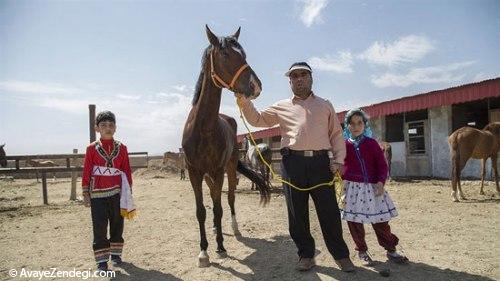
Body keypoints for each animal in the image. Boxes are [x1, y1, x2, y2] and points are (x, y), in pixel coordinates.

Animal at [182, 25, 270, 266]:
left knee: (228, 198)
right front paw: (203, 251)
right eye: (225, 54)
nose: (256, 86)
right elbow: (201, 211)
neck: (203, 129)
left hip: (228, 169)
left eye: (243, 53)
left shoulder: (218, 170)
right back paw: (214, 228)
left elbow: (220, 207)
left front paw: (220, 247)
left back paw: (234, 228)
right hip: (208, 175)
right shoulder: (194, 173)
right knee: (215, 196)